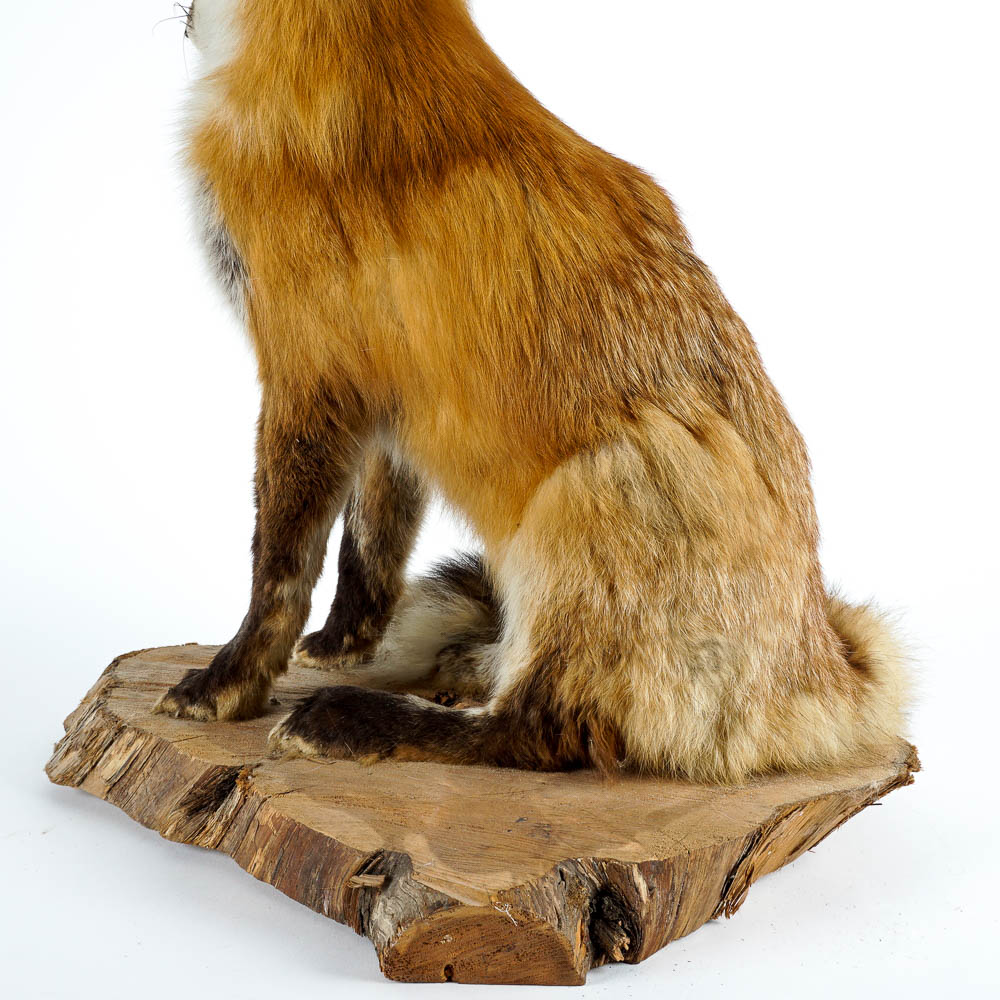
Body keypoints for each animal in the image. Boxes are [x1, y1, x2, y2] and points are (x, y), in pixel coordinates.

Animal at [154, 0, 909, 783]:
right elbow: (372, 542)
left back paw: (361, 720)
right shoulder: (388, 395)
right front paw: (344, 644)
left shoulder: (306, 371)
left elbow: (278, 567)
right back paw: (464, 664)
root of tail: (825, 672)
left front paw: (228, 684)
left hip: (599, 491)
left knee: (541, 732)